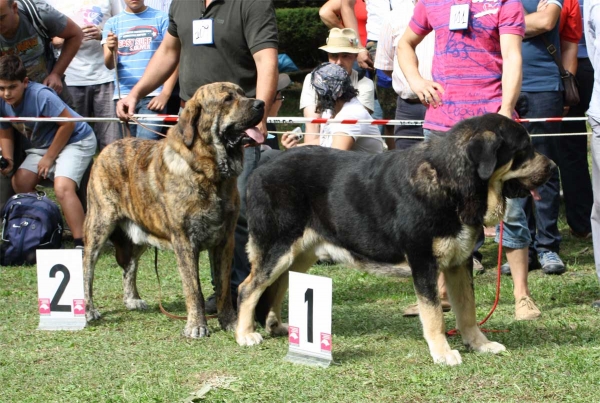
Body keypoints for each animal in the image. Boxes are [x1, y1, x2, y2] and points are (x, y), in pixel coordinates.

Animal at [83, 82, 264, 338]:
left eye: (242, 93)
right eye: (228, 99)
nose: (261, 104)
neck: (209, 173)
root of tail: (109, 147)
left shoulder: (224, 241)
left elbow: (223, 287)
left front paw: (229, 321)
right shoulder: (185, 242)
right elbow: (193, 288)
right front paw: (197, 326)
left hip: (141, 233)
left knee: (130, 265)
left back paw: (132, 299)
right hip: (99, 225)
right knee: (87, 267)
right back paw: (89, 310)